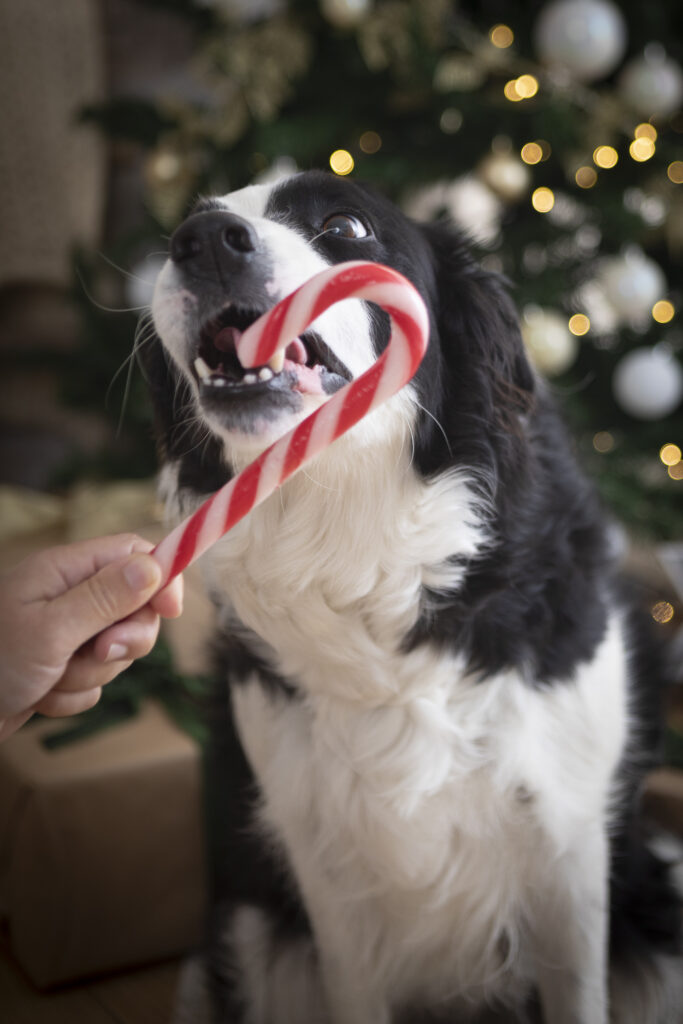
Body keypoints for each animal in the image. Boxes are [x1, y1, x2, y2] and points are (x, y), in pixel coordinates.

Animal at [147, 172, 679, 1019]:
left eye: (345, 225)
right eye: (185, 228)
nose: (201, 243)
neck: (366, 560)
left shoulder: (568, 847)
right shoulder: (327, 881)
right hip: (255, 937)